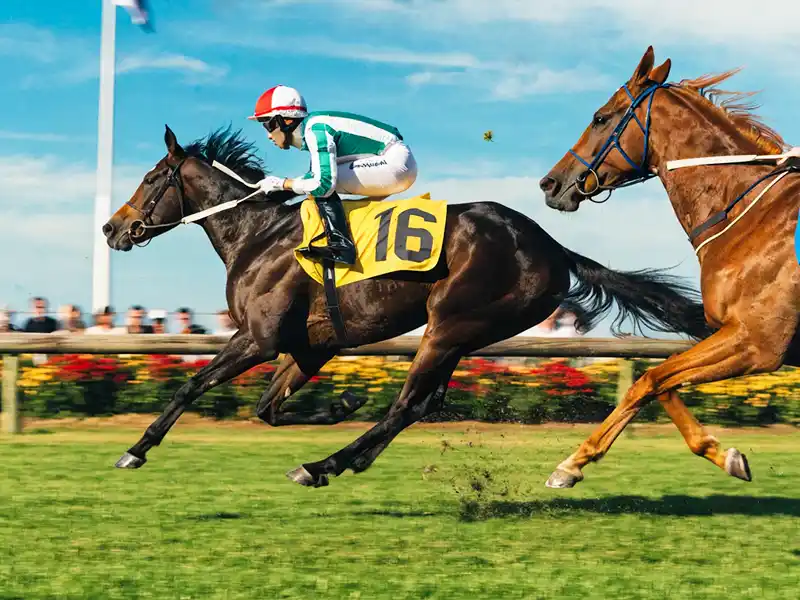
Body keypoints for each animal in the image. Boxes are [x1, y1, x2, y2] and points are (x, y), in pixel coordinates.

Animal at [103, 124, 711, 488]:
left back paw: (322, 463)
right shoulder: (310, 345)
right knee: (423, 404)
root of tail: (552, 246)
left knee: (407, 402)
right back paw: (344, 458)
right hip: (465, 334)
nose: (112, 228)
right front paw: (342, 403)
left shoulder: (260, 337)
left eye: (151, 178)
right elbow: (267, 408)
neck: (259, 235)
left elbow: (191, 385)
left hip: (449, 323)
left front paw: (137, 448)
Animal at [539, 45, 800, 488]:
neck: (750, 213)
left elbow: (647, 380)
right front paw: (725, 454)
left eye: (600, 117)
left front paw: (571, 464)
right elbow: (660, 383)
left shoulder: (757, 342)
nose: (551, 184)